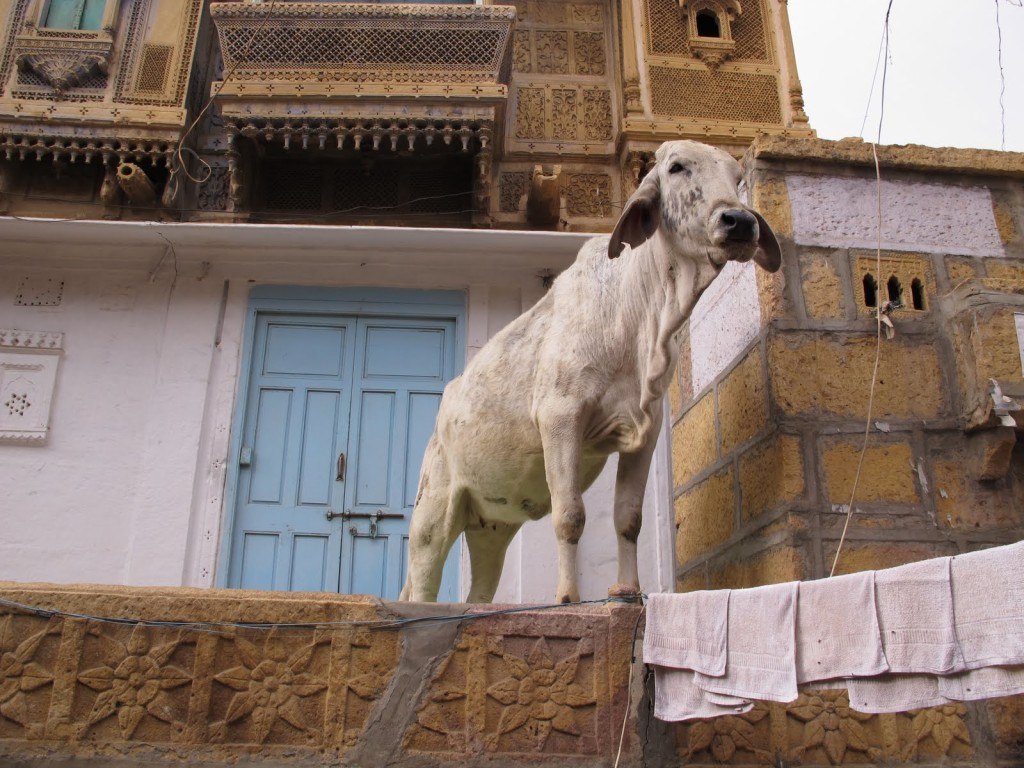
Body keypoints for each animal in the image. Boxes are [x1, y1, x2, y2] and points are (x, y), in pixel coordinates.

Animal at [397, 141, 774, 606]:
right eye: (676, 167)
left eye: (738, 178)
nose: (739, 221)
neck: (641, 318)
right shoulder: (560, 417)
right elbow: (570, 514)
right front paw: (567, 597)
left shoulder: (646, 430)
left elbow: (628, 517)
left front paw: (627, 590)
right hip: (433, 509)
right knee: (421, 585)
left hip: (492, 526)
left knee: (479, 593)